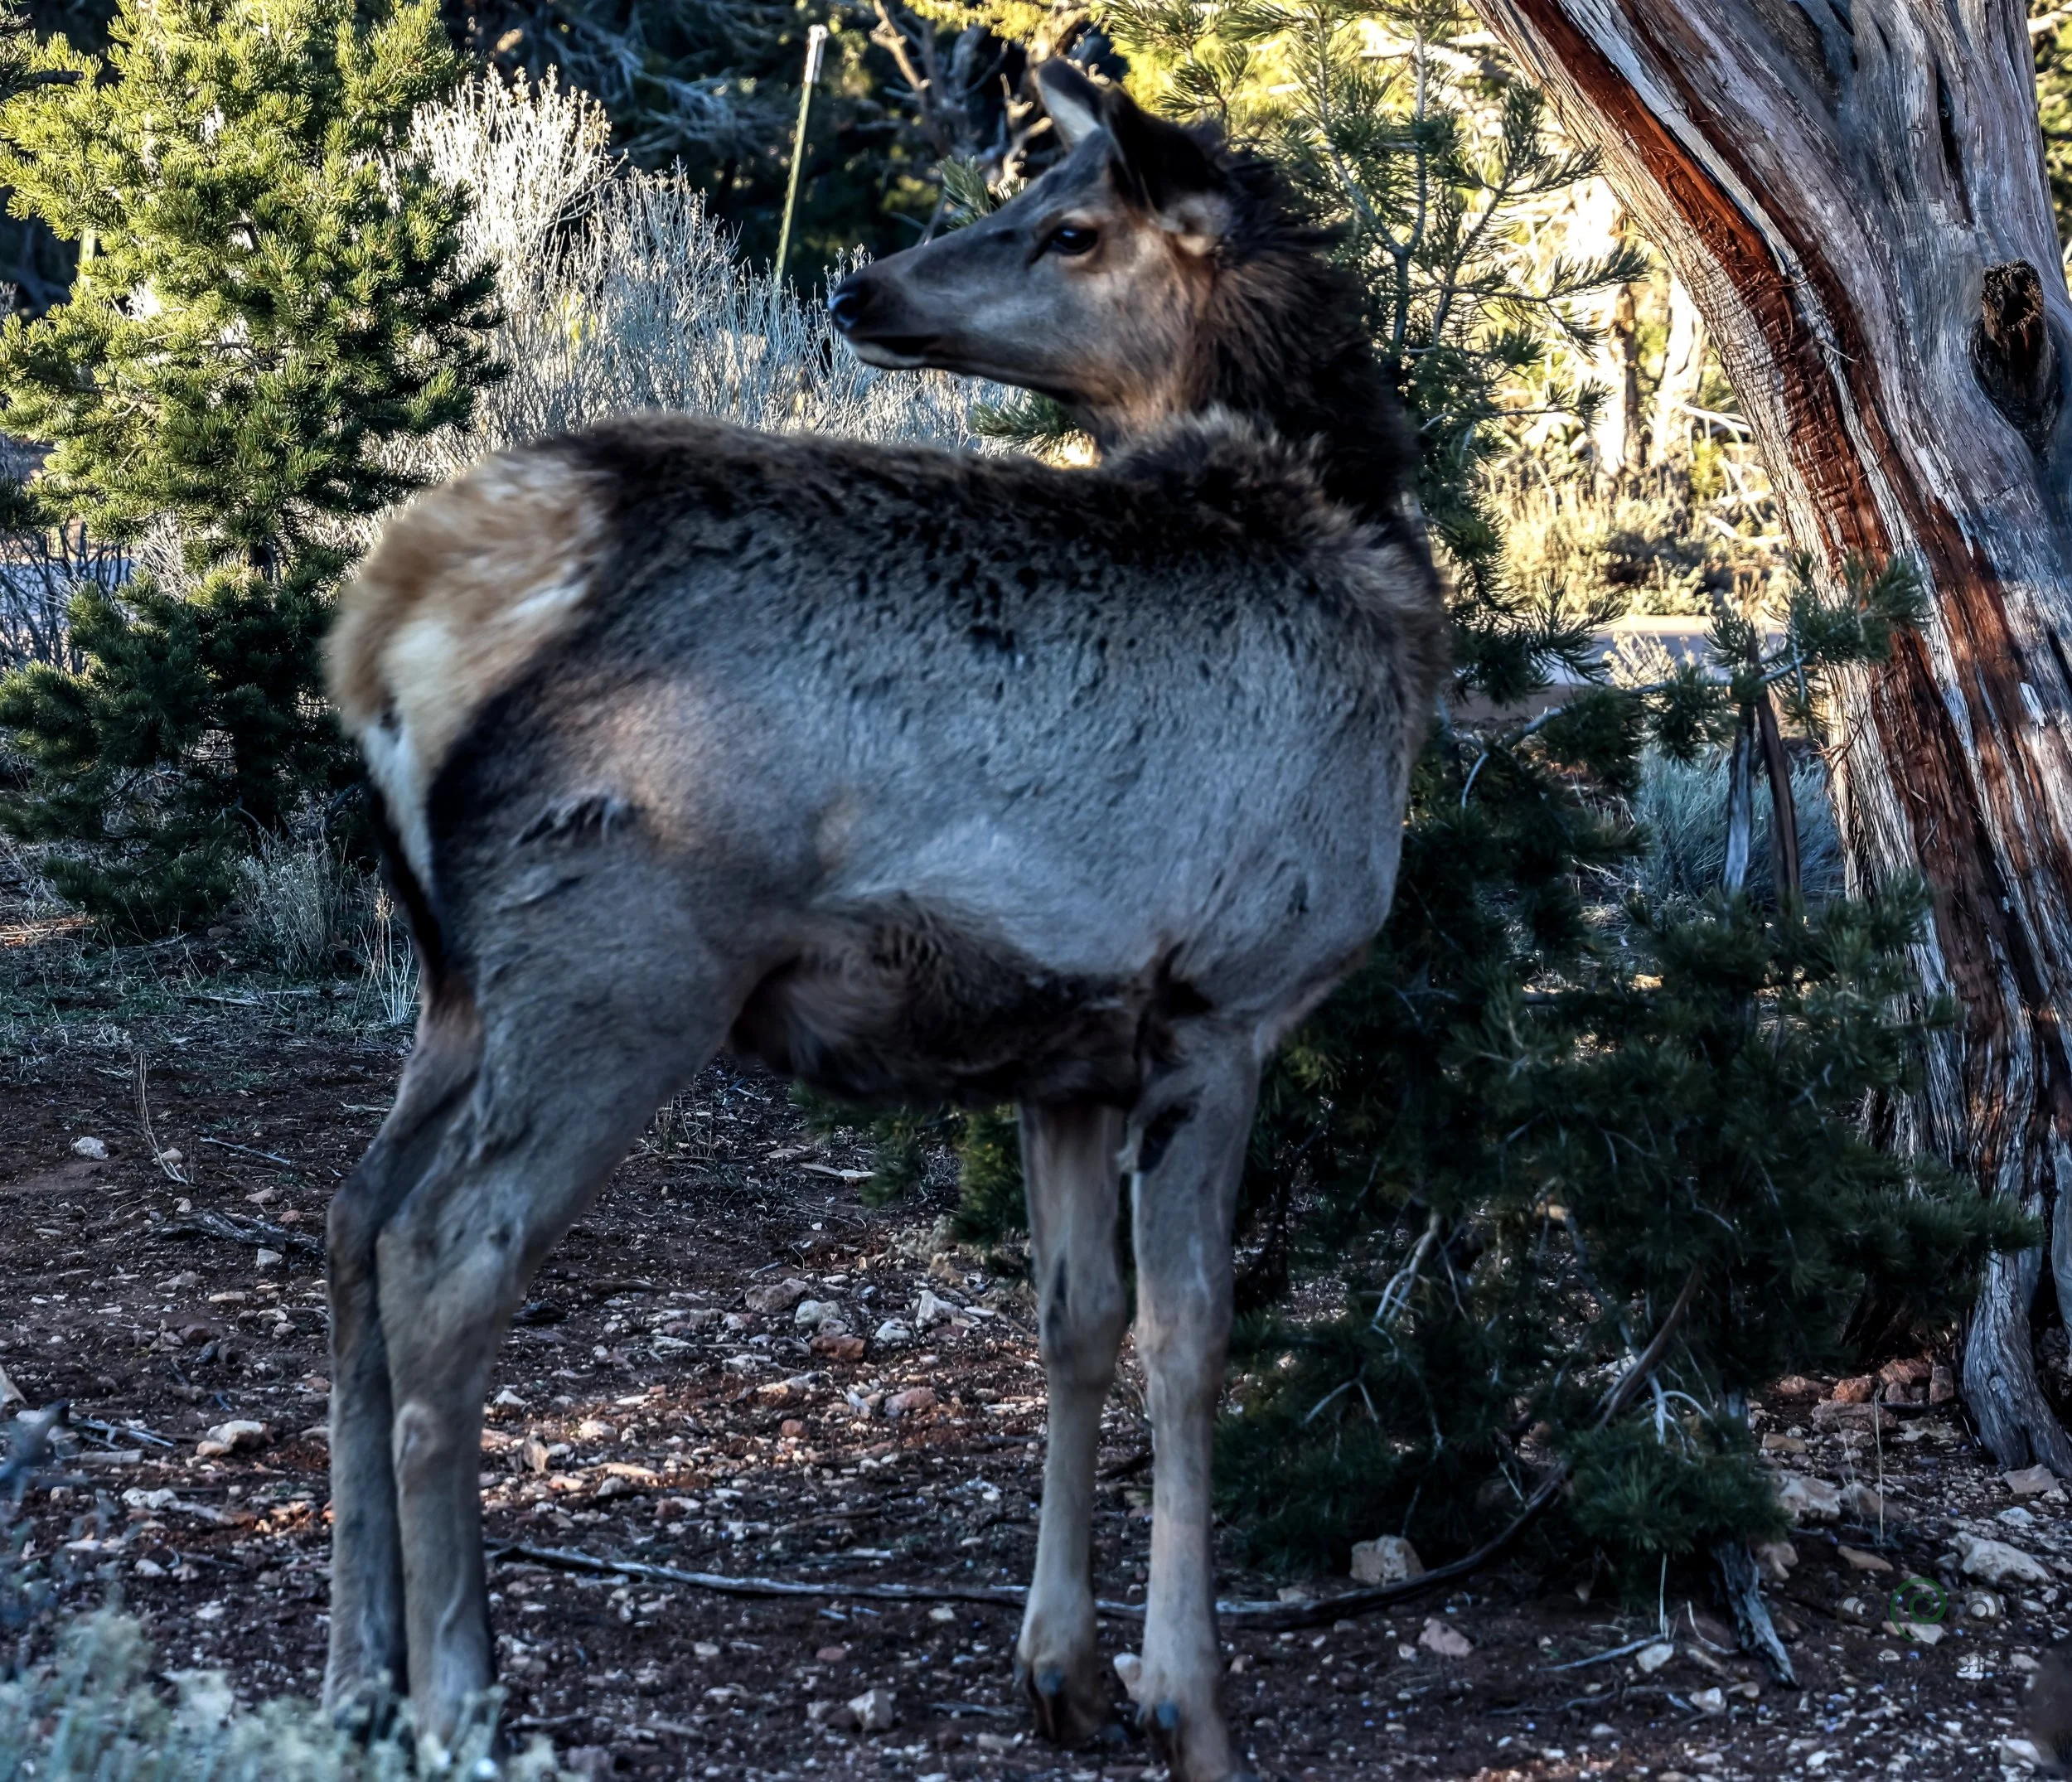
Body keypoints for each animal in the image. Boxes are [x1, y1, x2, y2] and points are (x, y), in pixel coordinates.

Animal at [321, 60, 1444, 1782]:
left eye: (1065, 222)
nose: (862, 288)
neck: (1361, 567)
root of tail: (386, 626)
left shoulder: (1073, 1044)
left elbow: (1074, 1321)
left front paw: (1063, 1673)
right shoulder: (1227, 999)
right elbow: (1193, 1343)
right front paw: (1192, 1704)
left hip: (458, 986)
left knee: (350, 1222)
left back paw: (356, 1684)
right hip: (619, 968)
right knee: (446, 1253)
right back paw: (461, 1704)